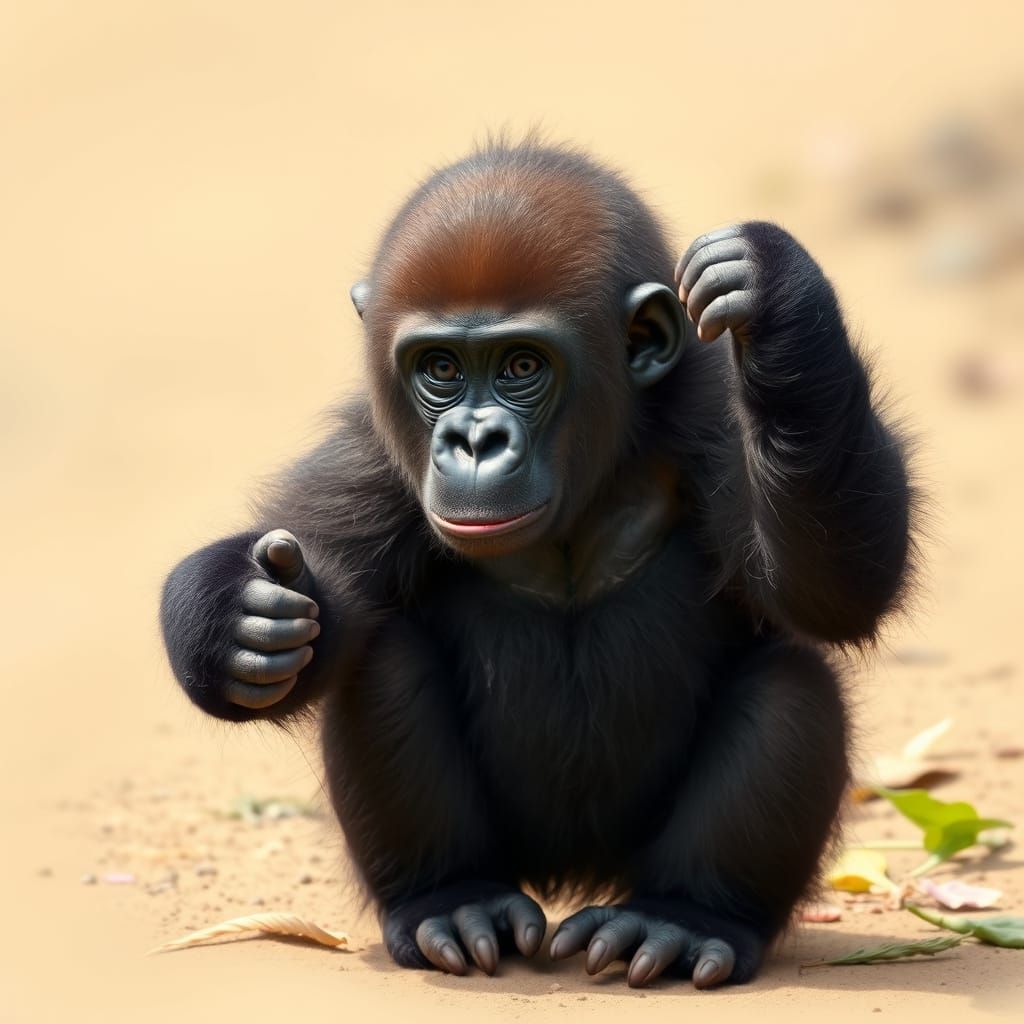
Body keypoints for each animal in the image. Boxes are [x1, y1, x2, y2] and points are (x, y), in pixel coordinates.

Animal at [161, 139, 914, 988]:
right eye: (440, 368)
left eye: (522, 366)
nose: (475, 440)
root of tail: (573, 876)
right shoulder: (368, 459)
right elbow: (322, 613)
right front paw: (234, 614)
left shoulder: (709, 420)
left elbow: (830, 589)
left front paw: (779, 295)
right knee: (383, 663)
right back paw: (450, 899)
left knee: (790, 684)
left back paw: (687, 916)